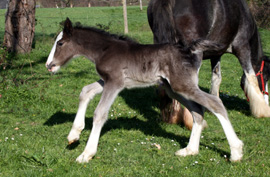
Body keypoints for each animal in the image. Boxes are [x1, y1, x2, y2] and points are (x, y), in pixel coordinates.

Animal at [45, 18, 244, 163]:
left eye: (60, 43)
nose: (48, 65)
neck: (104, 50)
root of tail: (188, 50)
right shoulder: (107, 81)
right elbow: (85, 91)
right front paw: (74, 134)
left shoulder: (115, 83)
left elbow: (99, 113)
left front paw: (86, 154)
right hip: (174, 89)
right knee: (198, 111)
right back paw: (190, 150)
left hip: (182, 86)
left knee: (215, 102)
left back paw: (236, 152)